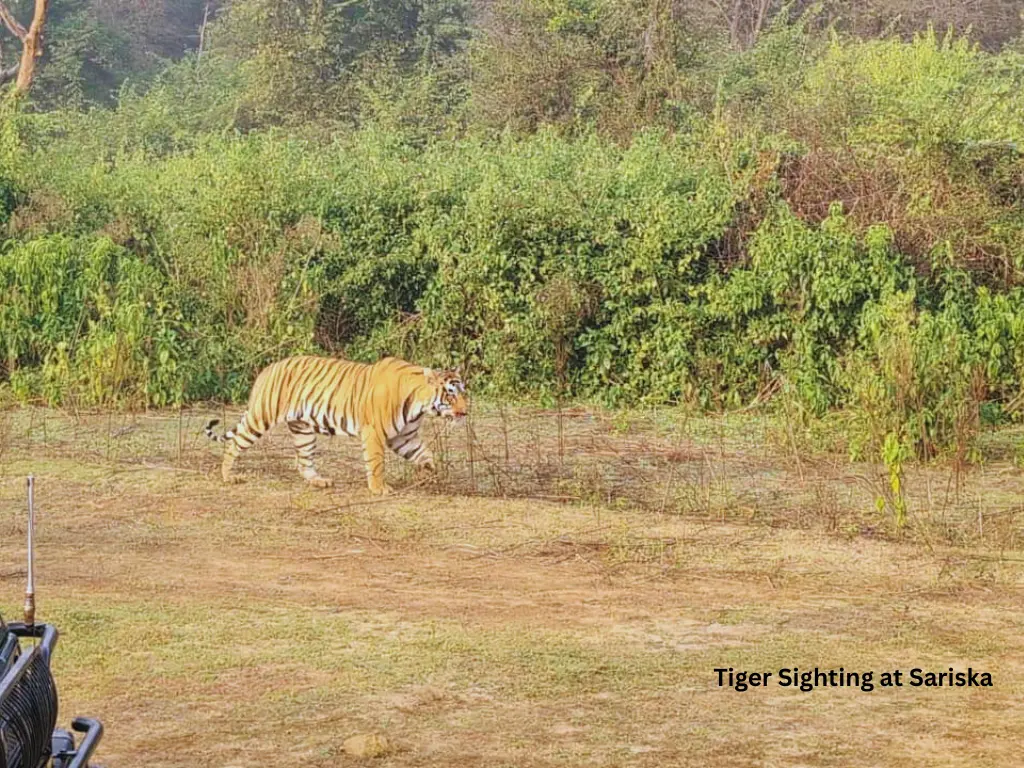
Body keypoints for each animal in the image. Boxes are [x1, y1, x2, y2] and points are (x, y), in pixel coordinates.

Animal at [203, 355, 467, 494]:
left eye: (464, 392)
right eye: (451, 395)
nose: (465, 412)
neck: (419, 406)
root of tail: (268, 368)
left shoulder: (404, 437)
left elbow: (425, 454)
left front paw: (429, 474)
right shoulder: (374, 433)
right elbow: (376, 463)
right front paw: (379, 488)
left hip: (303, 429)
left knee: (303, 461)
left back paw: (319, 481)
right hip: (262, 417)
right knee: (235, 443)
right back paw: (228, 476)